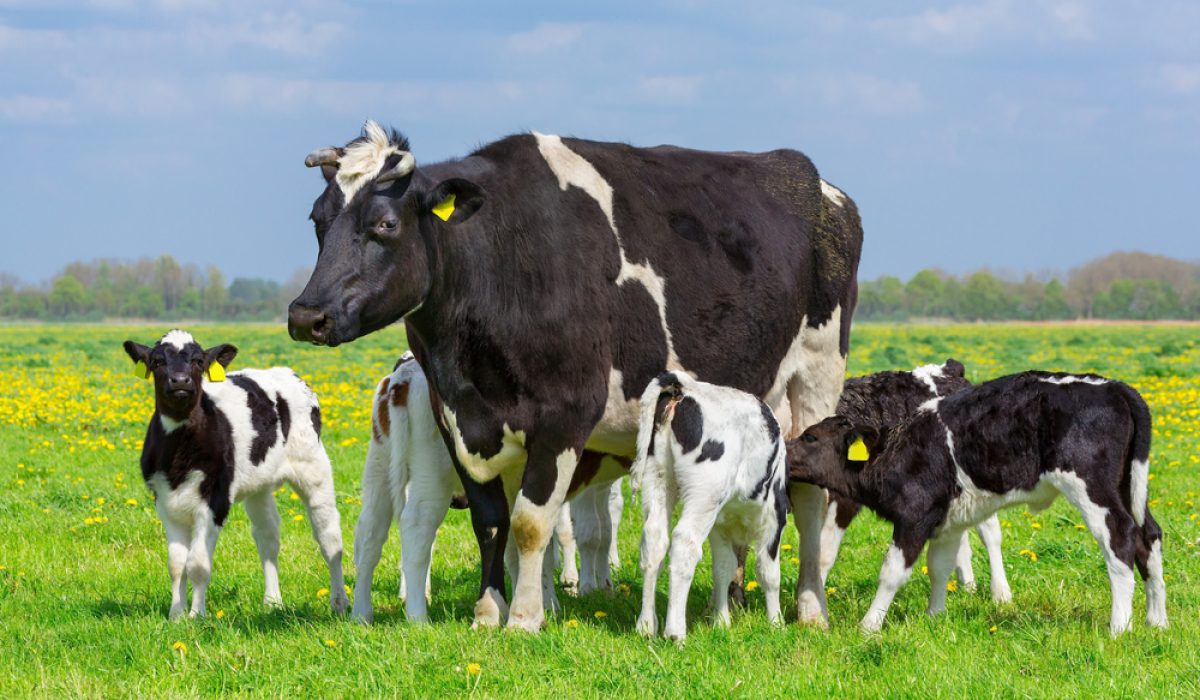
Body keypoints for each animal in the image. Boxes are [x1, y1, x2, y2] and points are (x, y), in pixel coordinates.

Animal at [289, 121, 863, 631]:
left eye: (386, 224)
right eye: (317, 220)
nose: (305, 315)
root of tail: (815, 181)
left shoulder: (564, 415)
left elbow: (529, 523)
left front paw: (523, 618)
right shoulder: (456, 419)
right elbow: (490, 520)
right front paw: (488, 611)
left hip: (816, 379)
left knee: (810, 499)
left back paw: (811, 608)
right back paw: (732, 603)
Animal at [786, 372, 1167, 636]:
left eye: (811, 437)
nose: (784, 451)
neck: (898, 450)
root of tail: (1113, 387)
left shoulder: (913, 516)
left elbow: (892, 573)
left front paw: (868, 626)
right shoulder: (947, 521)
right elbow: (939, 566)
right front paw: (934, 617)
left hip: (1092, 489)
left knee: (1121, 538)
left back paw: (1119, 627)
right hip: (1127, 486)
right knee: (1148, 536)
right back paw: (1157, 621)